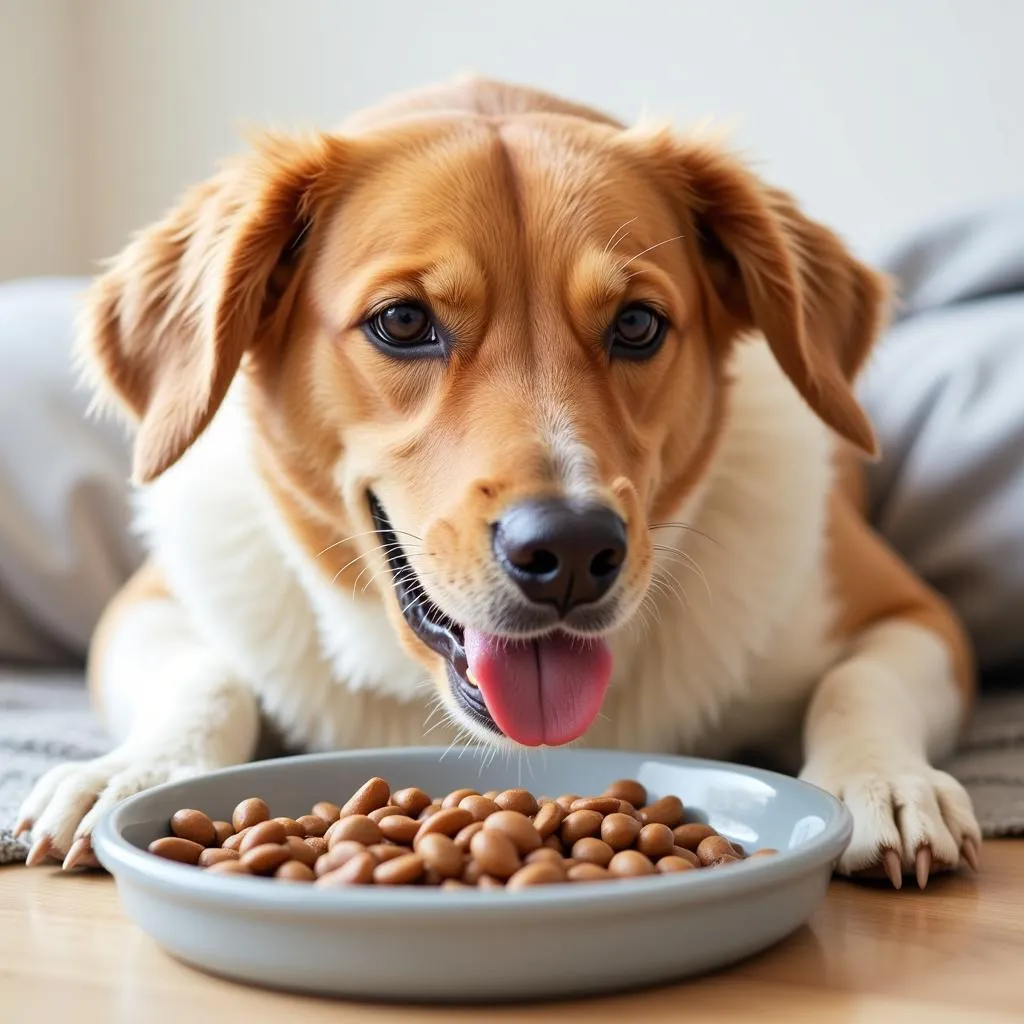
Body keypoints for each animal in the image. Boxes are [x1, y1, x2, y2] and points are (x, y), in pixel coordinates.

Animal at [14, 77, 974, 888]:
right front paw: (132, 772)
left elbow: (859, 685)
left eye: (637, 324)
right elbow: (206, 681)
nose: (574, 551)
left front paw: (886, 781)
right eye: (403, 322)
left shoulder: (914, 616)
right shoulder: (148, 606)